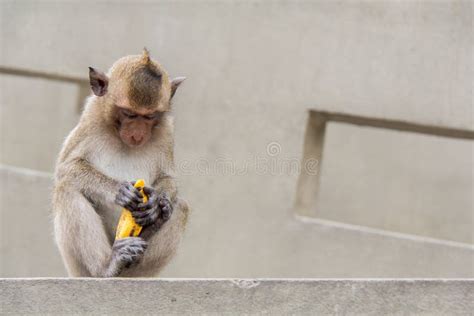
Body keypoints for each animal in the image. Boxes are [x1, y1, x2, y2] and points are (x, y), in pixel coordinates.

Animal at [53, 48, 189, 276]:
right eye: (129, 114)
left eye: (150, 116)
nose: (137, 135)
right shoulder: (91, 117)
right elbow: (66, 168)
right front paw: (119, 190)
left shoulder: (166, 131)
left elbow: (167, 177)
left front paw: (155, 204)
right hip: (77, 269)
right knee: (67, 189)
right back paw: (107, 267)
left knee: (180, 207)